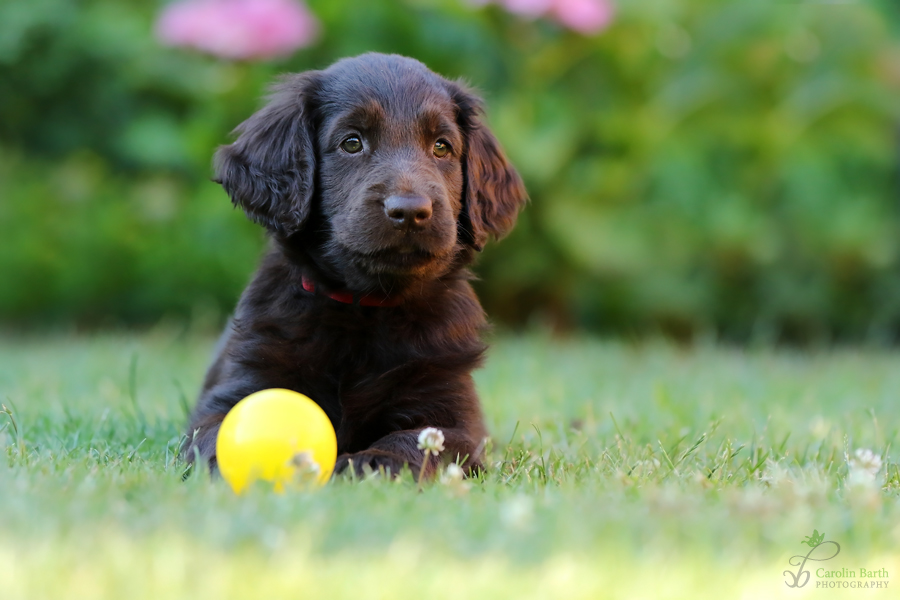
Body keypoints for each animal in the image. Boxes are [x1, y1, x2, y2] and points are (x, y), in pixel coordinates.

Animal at [187, 54, 532, 480]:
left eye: (441, 147)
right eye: (351, 143)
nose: (410, 211)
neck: (365, 309)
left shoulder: (454, 414)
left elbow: (416, 440)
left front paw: (370, 462)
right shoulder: (239, 386)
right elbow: (214, 436)